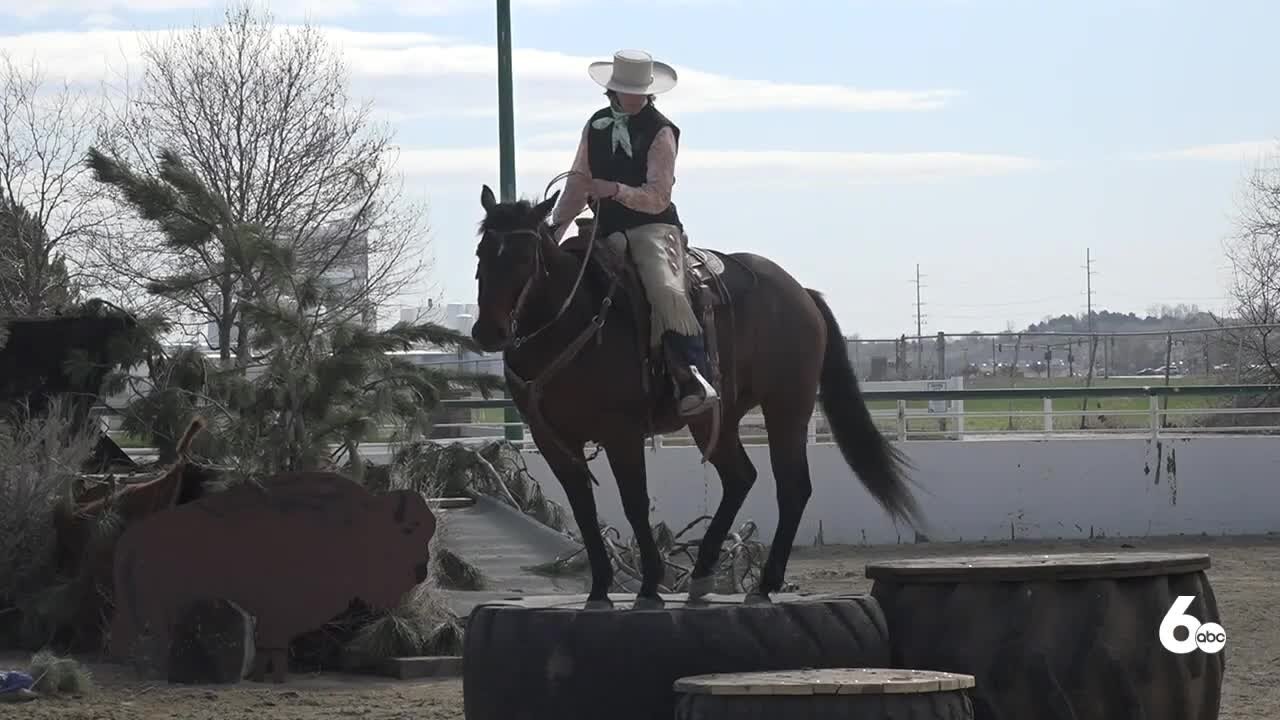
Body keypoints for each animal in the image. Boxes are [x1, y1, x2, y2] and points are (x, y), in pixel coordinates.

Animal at [471, 180, 921, 604]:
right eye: (481, 253)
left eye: (525, 257)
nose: (489, 331)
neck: (573, 320)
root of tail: (801, 294)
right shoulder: (553, 441)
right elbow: (582, 507)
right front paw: (599, 588)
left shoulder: (622, 433)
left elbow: (634, 501)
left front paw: (650, 582)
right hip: (714, 419)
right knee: (740, 477)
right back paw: (703, 573)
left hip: (787, 406)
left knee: (792, 486)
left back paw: (765, 582)